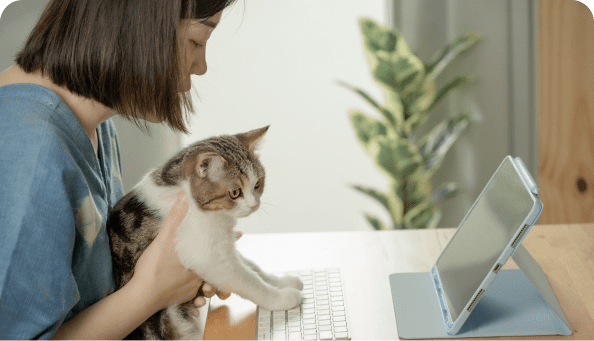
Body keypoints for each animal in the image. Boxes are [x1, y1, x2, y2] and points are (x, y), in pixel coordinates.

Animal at [104, 126, 302, 338]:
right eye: (235, 192)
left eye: (257, 184)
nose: (254, 205)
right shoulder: (209, 258)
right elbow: (250, 281)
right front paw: (282, 297)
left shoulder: (222, 244)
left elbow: (252, 266)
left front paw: (281, 280)